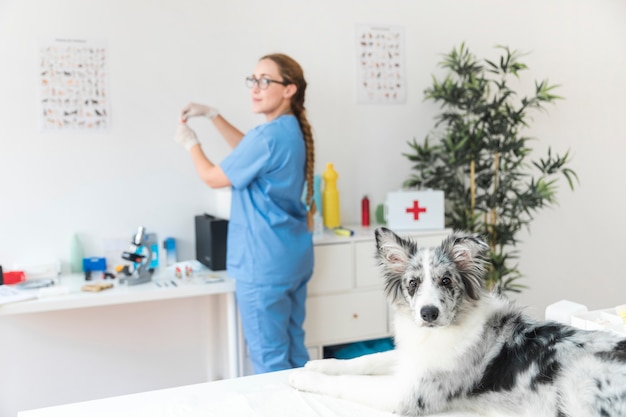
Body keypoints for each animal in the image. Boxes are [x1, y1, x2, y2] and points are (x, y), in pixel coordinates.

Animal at [288, 228, 624, 416]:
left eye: (446, 280)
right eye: (413, 283)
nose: (428, 313)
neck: (444, 330)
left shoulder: (408, 393)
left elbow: (347, 383)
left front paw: (302, 379)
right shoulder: (411, 359)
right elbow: (368, 359)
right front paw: (318, 364)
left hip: (581, 376)